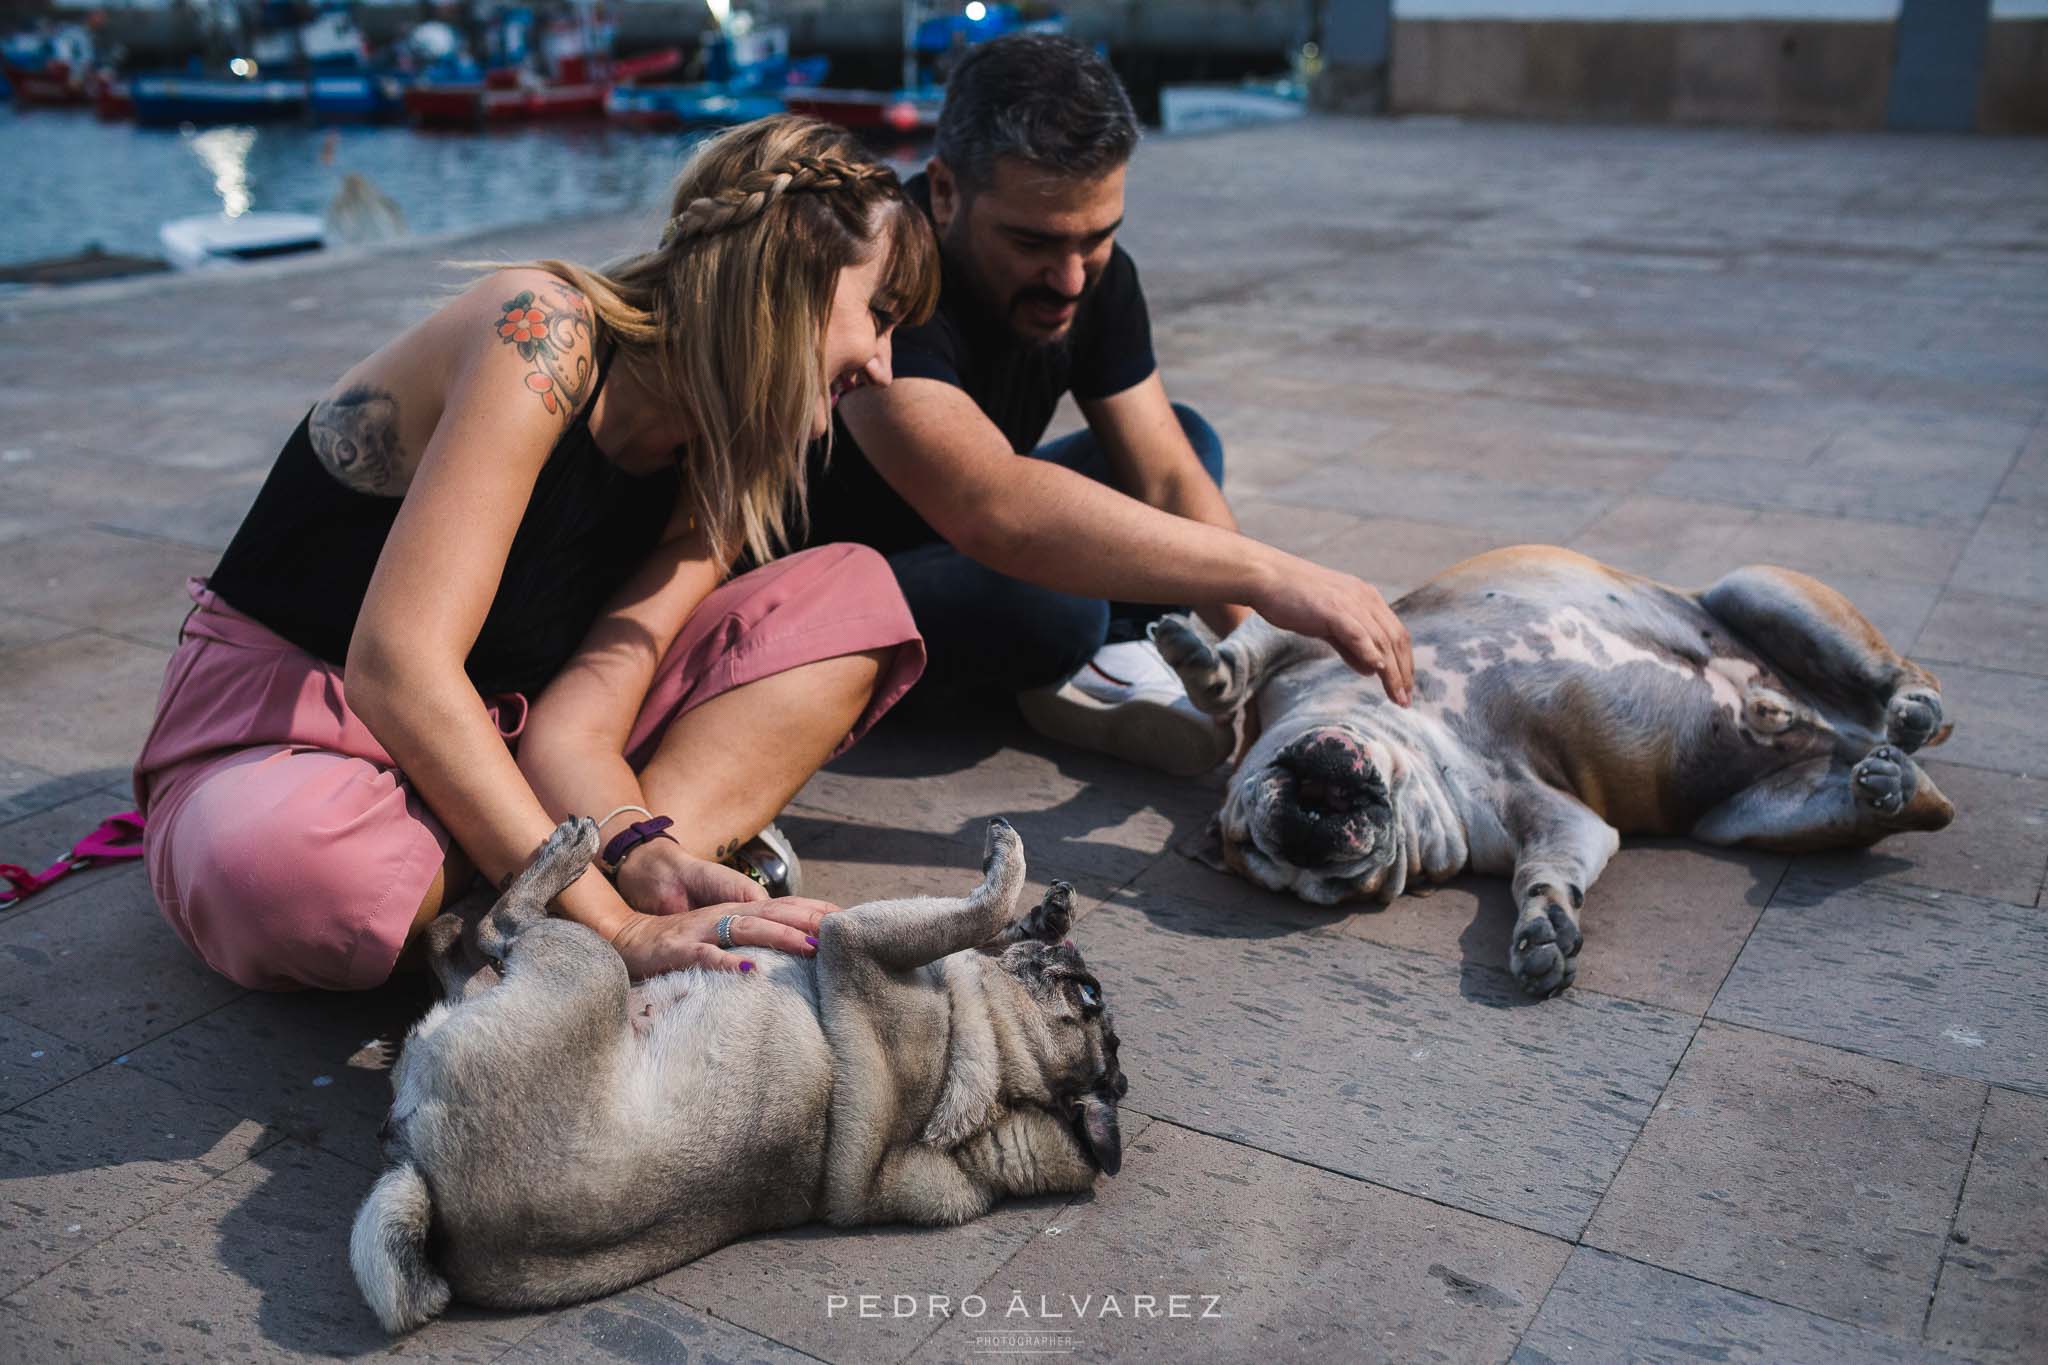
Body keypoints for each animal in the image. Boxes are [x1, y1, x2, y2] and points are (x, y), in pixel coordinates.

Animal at [350, 818, 1122, 1326]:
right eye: (1091, 995)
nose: (1075, 949)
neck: (995, 1083)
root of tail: (428, 1185)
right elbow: (984, 922)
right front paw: (1044, 906)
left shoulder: (852, 937)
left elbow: (979, 910)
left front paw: (1010, 865)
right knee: (457, 950)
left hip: (584, 964)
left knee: (497, 930)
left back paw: (558, 858)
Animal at [1155, 548, 1949, 1002]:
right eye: (1338, 886)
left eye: (1245, 837)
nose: (1304, 834)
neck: (1419, 746)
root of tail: (1832, 721)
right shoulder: (1556, 819)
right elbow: (1543, 871)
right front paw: (1543, 930)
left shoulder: (1328, 632)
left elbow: (1252, 649)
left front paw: (1204, 665)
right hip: (1752, 817)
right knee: (1921, 807)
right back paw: (1888, 786)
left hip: (1759, 590)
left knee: (1902, 673)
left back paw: (1911, 707)